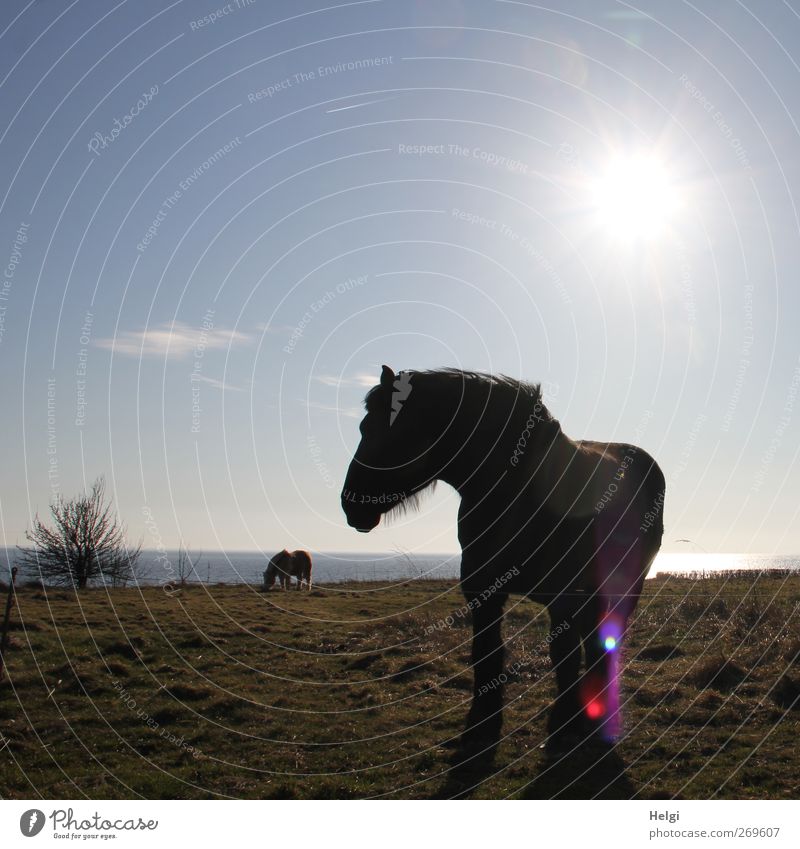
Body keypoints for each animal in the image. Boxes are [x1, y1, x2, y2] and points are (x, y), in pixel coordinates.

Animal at [340, 364, 664, 748]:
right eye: (363, 427)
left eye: (393, 430)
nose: (351, 503)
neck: (518, 487)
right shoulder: (482, 590)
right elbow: (486, 653)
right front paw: (484, 715)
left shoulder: (562, 596)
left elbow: (563, 654)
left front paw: (567, 717)